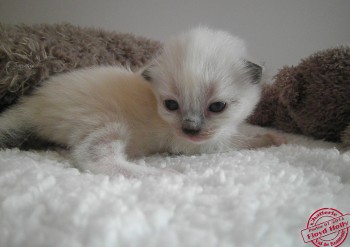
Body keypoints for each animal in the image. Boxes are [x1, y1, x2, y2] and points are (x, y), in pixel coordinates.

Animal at [0, 27, 284, 177]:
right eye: (171, 105)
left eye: (217, 107)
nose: (190, 129)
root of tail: (35, 102)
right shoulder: (193, 144)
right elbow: (235, 142)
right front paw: (269, 139)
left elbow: (240, 130)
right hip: (107, 124)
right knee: (93, 158)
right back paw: (159, 173)